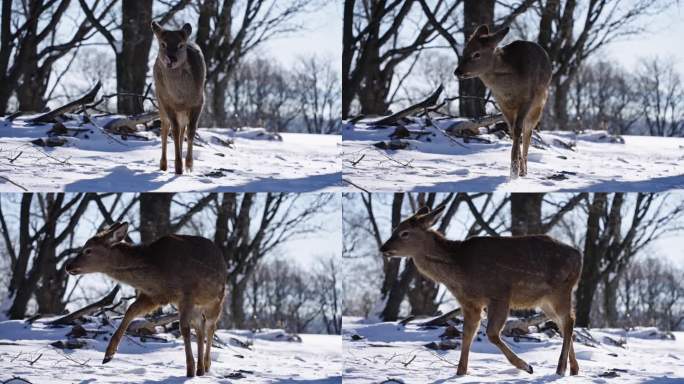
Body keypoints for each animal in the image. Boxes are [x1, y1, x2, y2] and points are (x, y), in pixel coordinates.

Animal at [64, 222, 226, 378]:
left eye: (88, 250)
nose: (68, 266)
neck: (156, 271)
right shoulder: (153, 296)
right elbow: (130, 311)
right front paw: (108, 355)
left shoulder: (187, 294)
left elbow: (184, 329)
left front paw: (189, 370)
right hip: (197, 306)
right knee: (200, 327)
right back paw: (201, 368)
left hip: (216, 300)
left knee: (210, 327)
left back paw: (205, 365)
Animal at [150, 21, 203, 175]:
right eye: (163, 44)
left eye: (180, 45)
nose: (171, 59)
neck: (180, 97)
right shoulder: (167, 102)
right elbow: (173, 131)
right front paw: (178, 166)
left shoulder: (199, 101)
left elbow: (191, 131)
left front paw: (189, 165)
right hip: (160, 102)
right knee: (165, 129)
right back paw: (163, 164)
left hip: (183, 111)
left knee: (182, 129)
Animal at [380, 206, 584, 376]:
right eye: (395, 229)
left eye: (404, 233)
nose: (384, 248)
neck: (459, 270)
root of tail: (579, 256)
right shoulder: (469, 303)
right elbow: (467, 334)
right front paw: (460, 372)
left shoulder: (499, 294)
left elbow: (492, 334)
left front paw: (527, 366)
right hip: (545, 300)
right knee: (563, 322)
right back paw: (573, 369)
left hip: (561, 289)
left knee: (568, 320)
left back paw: (561, 368)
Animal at [454, 25, 556, 178]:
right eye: (465, 51)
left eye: (477, 54)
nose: (458, 71)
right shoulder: (502, 103)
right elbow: (512, 130)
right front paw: (514, 167)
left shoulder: (528, 98)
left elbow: (519, 129)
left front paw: (514, 170)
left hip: (538, 105)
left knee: (528, 131)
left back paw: (524, 170)